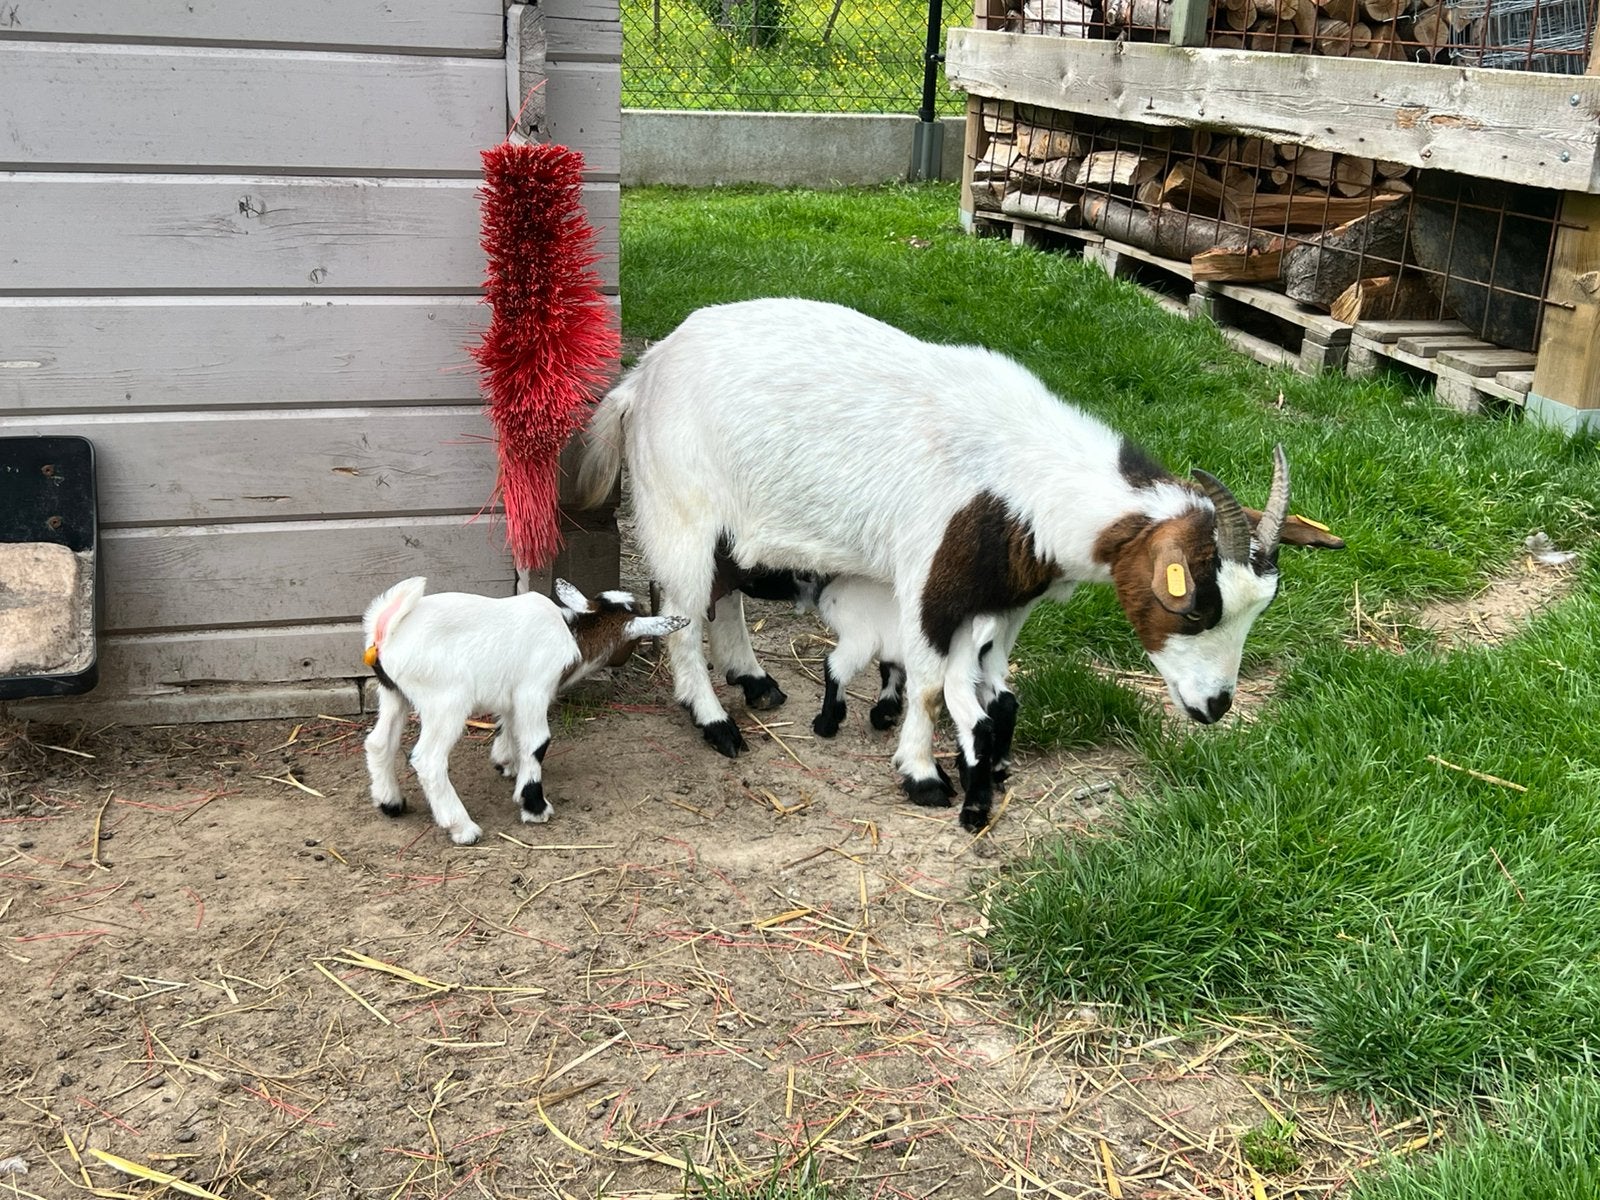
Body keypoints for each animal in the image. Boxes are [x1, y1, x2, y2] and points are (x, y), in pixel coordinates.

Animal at [362, 577, 688, 844]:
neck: (572, 635)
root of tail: (384, 631)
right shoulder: (534, 689)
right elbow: (537, 743)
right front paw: (534, 806)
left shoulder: (512, 694)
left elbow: (510, 727)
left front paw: (506, 763)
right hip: (446, 699)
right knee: (428, 760)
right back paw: (463, 828)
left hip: (393, 692)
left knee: (379, 742)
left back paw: (390, 803)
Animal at [575, 298, 1343, 830]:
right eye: (1193, 603)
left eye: (1261, 606)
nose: (1214, 707)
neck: (1020, 473)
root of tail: (641, 380)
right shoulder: (930, 584)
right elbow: (923, 686)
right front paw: (923, 776)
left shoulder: (1003, 602)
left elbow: (995, 688)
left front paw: (992, 766)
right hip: (680, 507)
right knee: (681, 610)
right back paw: (716, 723)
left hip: (727, 524)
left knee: (724, 593)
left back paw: (757, 683)